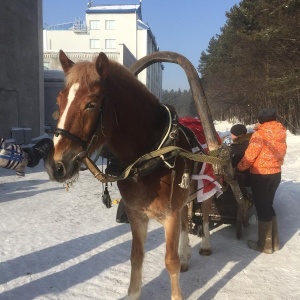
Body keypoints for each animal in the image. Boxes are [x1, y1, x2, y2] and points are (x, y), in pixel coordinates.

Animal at [44, 50, 216, 298]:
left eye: (91, 104)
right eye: (59, 101)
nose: (55, 165)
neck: (149, 157)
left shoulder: (170, 215)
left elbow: (170, 261)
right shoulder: (137, 214)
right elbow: (136, 257)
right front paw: (133, 292)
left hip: (208, 185)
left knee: (205, 213)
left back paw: (205, 245)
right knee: (186, 220)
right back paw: (186, 255)